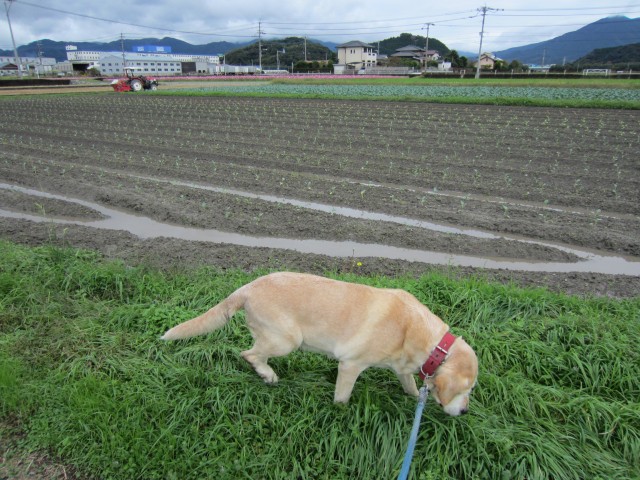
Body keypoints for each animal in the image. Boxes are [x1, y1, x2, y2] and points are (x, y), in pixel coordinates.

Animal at [162, 272, 478, 414]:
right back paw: (268, 375)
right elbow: (342, 397)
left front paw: (414, 399)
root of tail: (247, 287)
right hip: (287, 340)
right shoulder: (350, 365)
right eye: (465, 390)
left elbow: (410, 385)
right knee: (249, 354)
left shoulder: (402, 369)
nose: (464, 412)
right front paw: (340, 413)